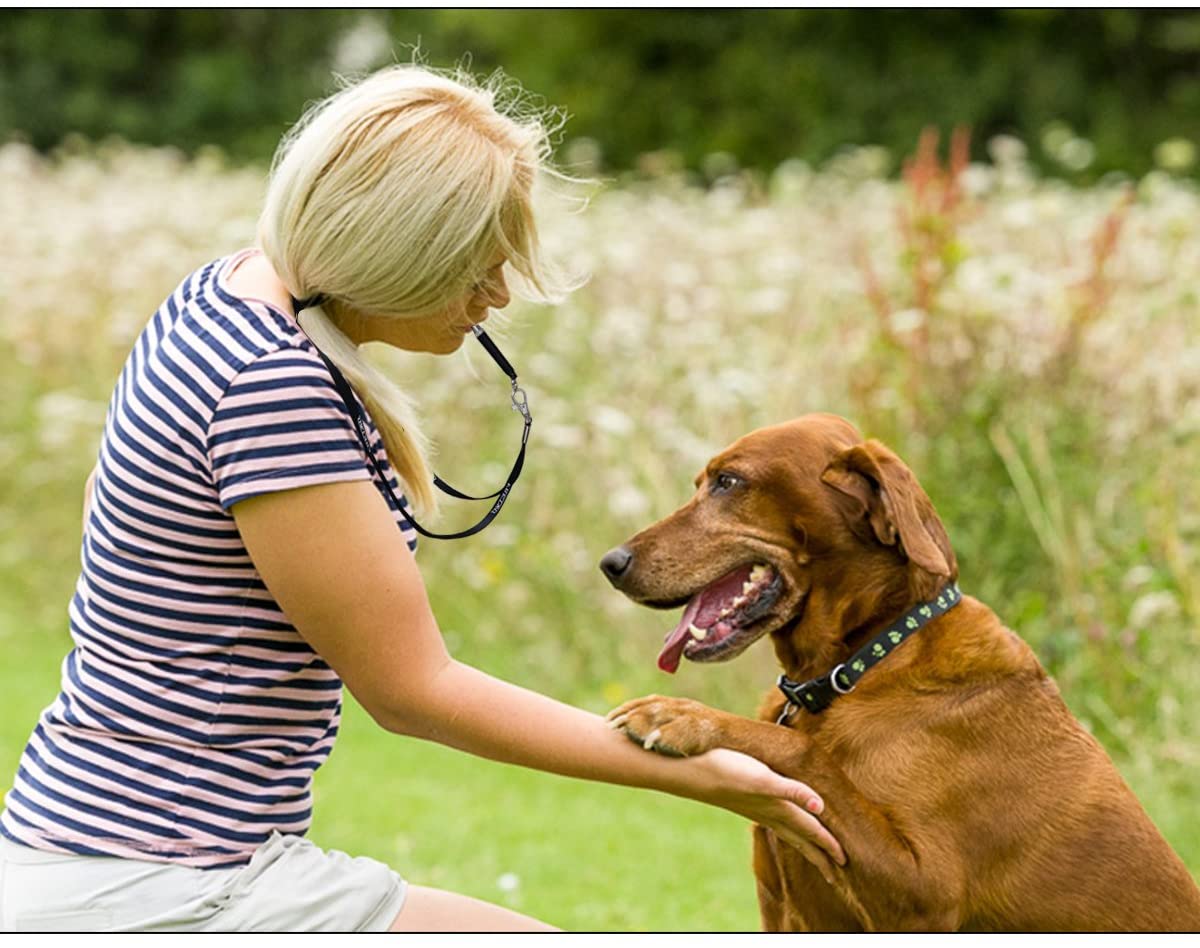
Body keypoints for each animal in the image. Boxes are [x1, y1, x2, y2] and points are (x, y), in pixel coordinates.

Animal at [600, 417, 1200, 936]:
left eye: (728, 482)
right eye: (702, 483)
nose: (611, 563)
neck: (861, 663)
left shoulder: (922, 895)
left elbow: (804, 752)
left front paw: (682, 716)